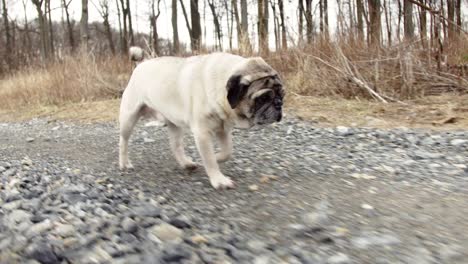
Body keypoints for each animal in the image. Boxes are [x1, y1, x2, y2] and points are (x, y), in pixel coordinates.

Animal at [119, 51, 284, 189]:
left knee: (176, 146)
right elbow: (209, 159)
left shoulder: (222, 129)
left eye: (282, 95)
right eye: (263, 98)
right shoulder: (202, 133)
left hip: (174, 124)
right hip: (129, 117)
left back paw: (186, 163)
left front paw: (217, 157)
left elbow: (227, 151)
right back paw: (124, 163)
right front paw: (219, 180)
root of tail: (140, 64)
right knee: (123, 141)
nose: (278, 104)